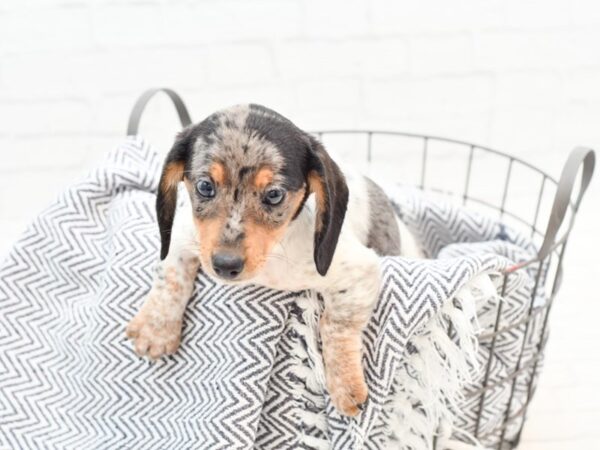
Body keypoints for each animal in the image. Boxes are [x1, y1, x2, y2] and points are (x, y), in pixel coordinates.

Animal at [126, 103, 422, 416]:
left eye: (274, 194)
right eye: (205, 186)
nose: (225, 265)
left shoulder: (359, 270)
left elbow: (335, 324)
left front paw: (345, 384)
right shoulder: (182, 234)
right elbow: (170, 274)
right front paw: (156, 330)